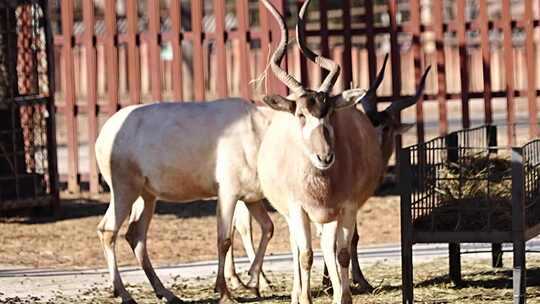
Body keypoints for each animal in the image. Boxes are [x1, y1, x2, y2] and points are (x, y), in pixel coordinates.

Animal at [94, 98, 274, 302]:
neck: (258, 130)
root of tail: (103, 135)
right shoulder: (228, 193)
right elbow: (225, 239)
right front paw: (225, 293)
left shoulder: (251, 198)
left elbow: (268, 227)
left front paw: (253, 283)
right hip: (124, 188)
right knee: (108, 230)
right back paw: (125, 295)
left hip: (146, 195)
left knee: (135, 234)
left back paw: (166, 293)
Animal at [258, 1, 430, 302]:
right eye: (301, 114)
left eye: (330, 112)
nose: (325, 157)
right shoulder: (299, 209)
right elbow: (306, 255)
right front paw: (307, 296)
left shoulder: (346, 208)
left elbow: (342, 252)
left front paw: (344, 293)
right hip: (292, 214)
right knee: (297, 247)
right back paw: (296, 293)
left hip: (329, 217)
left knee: (330, 246)